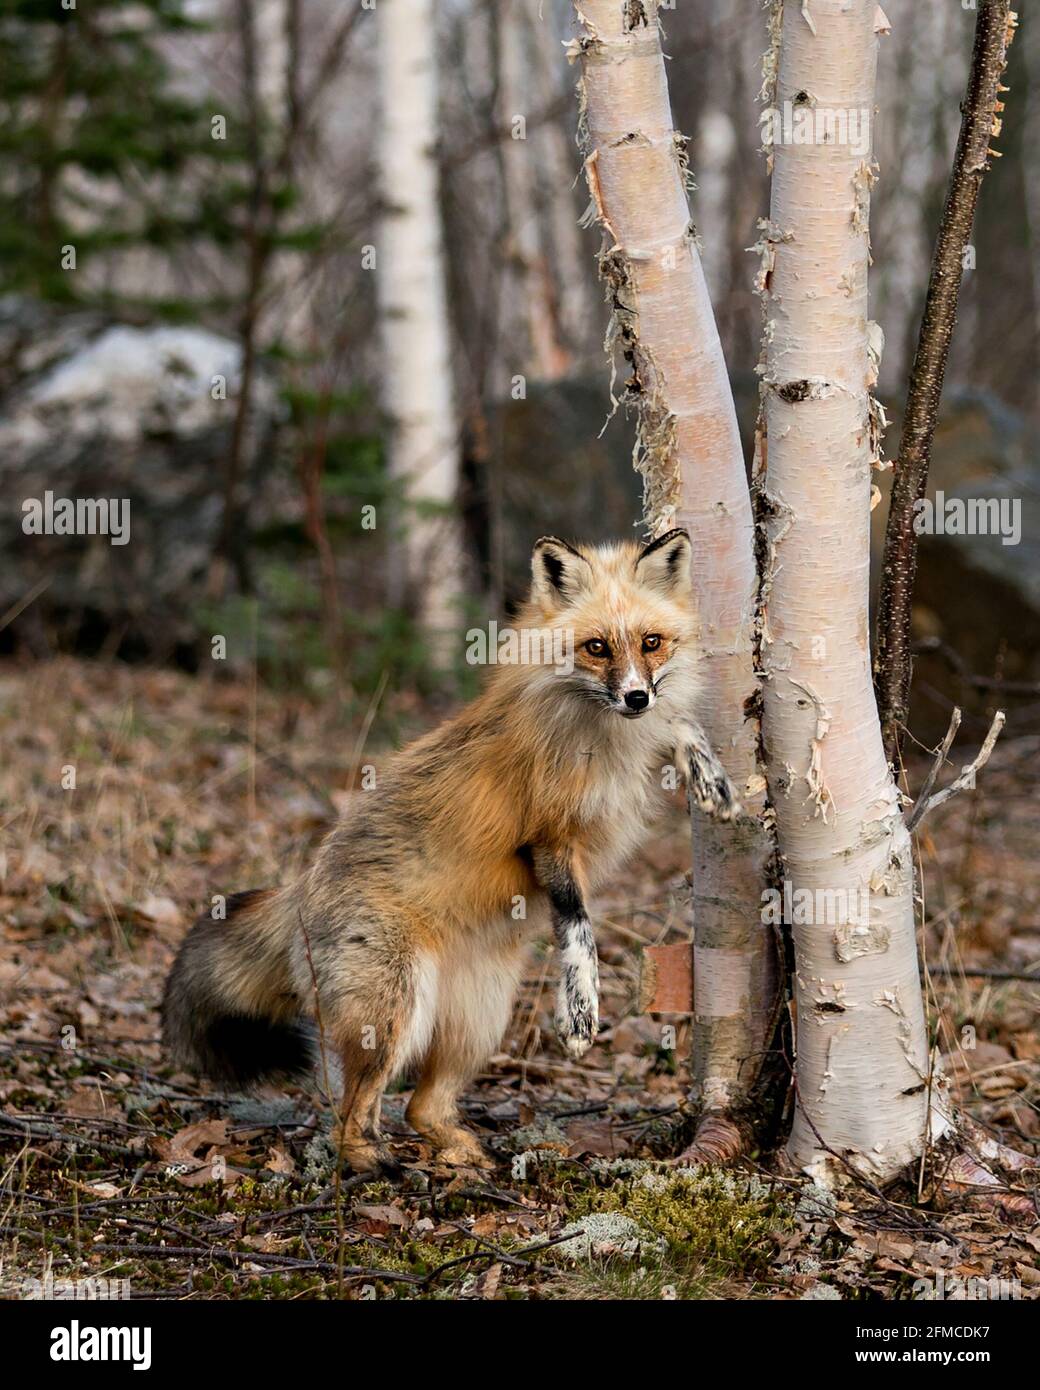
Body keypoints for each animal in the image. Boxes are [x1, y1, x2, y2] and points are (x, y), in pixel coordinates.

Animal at [162, 530, 739, 1173]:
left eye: (651, 642)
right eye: (595, 647)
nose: (636, 696)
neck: (606, 736)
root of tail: (299, 888)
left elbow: (681, 725)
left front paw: (714, 782)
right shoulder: (548, 837)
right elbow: (578, 928)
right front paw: (580, 1007)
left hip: (480, 1021)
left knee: (422, 1108)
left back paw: (463, 1155)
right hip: (393, 1015)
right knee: (349, 1115)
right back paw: (376, 1165)